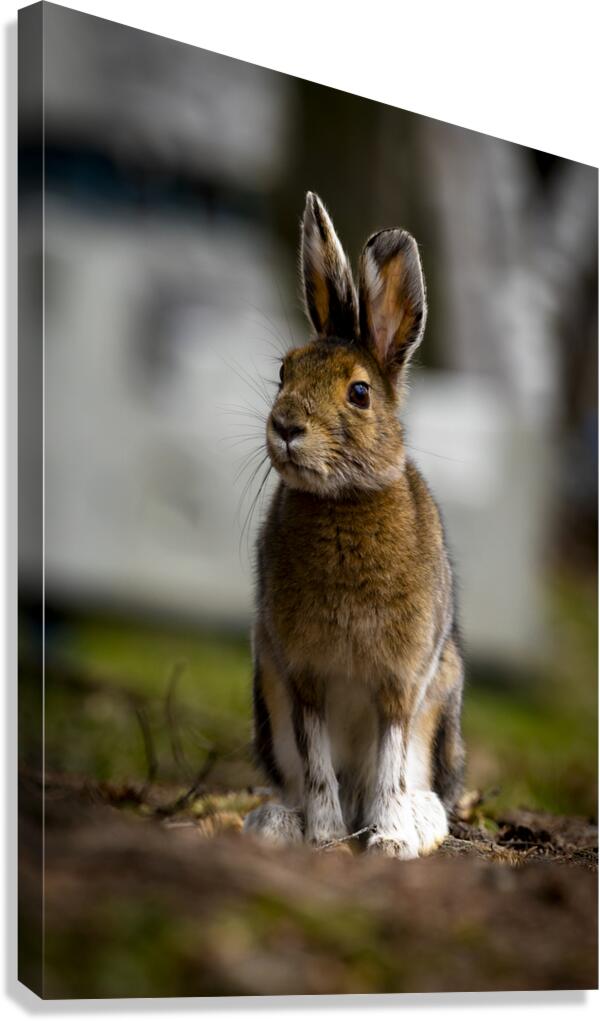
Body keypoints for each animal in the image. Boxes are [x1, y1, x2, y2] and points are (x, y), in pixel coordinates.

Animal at [243, 192, 465, 859]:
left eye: (360, 393)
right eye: (284, 373)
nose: (286, 426)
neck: (343, 501)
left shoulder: (401, 682)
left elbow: (389, 761)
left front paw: (388, 842)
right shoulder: (302, 677)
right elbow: (317, 765)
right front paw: (325, 838)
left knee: (411, 782)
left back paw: (417, 824)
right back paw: (277, 825)